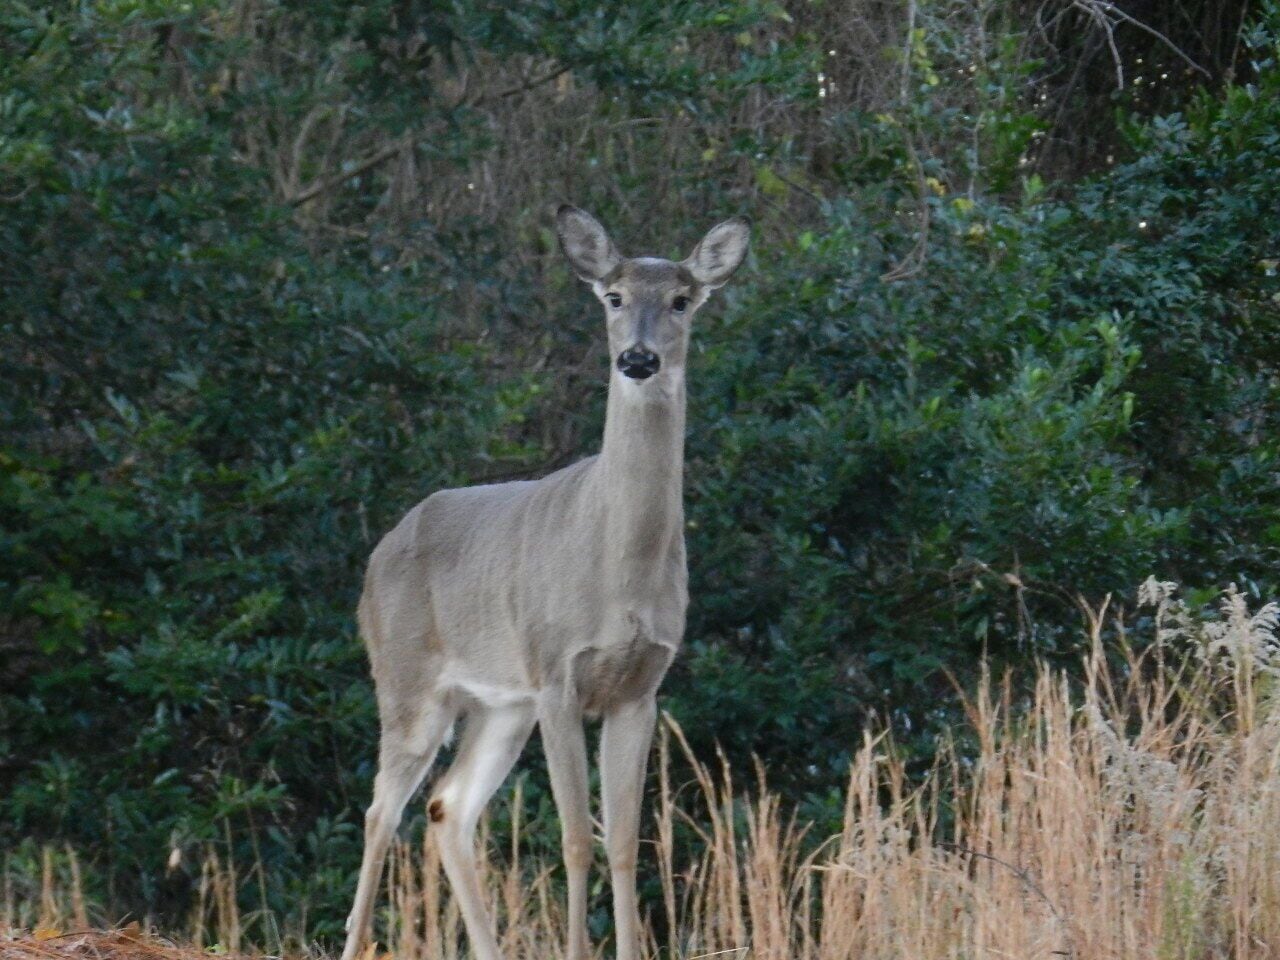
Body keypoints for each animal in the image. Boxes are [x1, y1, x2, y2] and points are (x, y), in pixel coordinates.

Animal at [339, 205, 750, 960]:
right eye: (613, 297)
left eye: (681, 299)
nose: (638, 358)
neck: (621, 571)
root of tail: (377, 556)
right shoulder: (559, 674)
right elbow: (575, 838)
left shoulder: (640, 688)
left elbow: (624, 840)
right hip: (409, 679)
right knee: (382, 807)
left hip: (503, 704)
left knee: (447, 806)